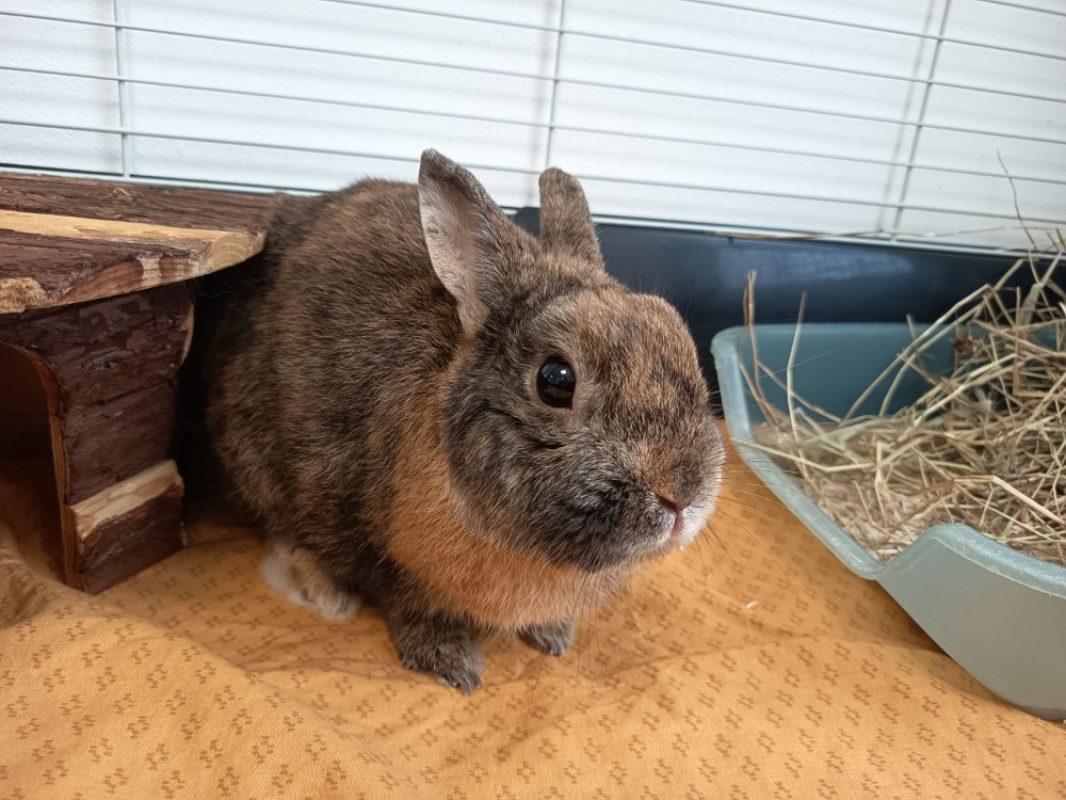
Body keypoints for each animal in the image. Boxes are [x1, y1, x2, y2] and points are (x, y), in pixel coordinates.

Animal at [200, 150, 725, 692]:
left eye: (681, 342)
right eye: (556, 380)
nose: (682, 494)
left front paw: (553, 637)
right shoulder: (382, 549)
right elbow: (410, 605)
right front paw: (452, 665)